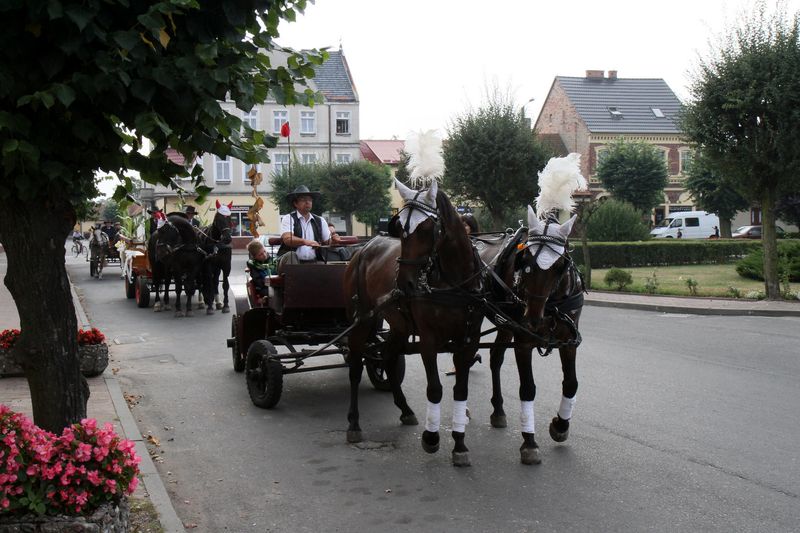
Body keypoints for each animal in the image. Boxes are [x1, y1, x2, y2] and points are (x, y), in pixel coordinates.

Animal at [342, 180, 482, 466]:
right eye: (400, 230)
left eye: (427, 228)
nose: (405, 283)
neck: (454, 283)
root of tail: (363, 248)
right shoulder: (429, 341)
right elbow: (435, 389)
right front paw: (431, 438)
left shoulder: (468, 342)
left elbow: (460, 390)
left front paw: (459, 445)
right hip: (361, 322)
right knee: (355, 368)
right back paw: (354, 423)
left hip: (398, 326)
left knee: (388, 358)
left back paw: (404, 408)